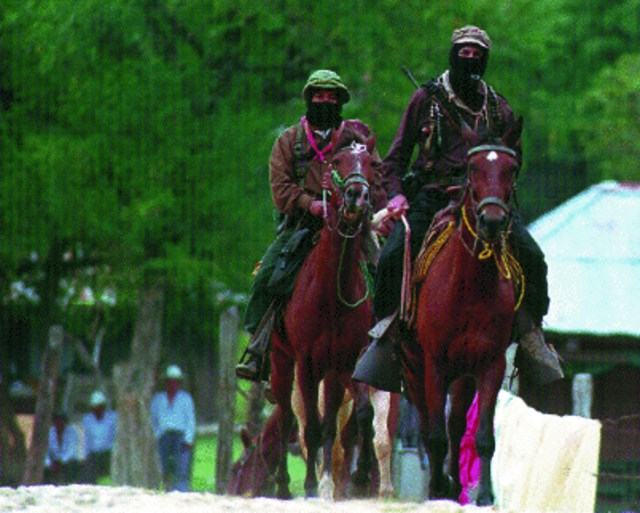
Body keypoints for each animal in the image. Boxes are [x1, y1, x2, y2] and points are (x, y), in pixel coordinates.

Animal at [404, 118, 524, 506]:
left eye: (511, 168)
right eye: (473, 168)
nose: (492, 220)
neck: (470, 287)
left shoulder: (490, 364)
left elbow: (482, 436)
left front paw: (484, 495)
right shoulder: (434, 365)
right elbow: (434, 435)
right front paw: (436, 489)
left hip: (464, 374)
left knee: (456, 424)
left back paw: (456, 485)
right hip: (414, 368)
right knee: (428, 427)